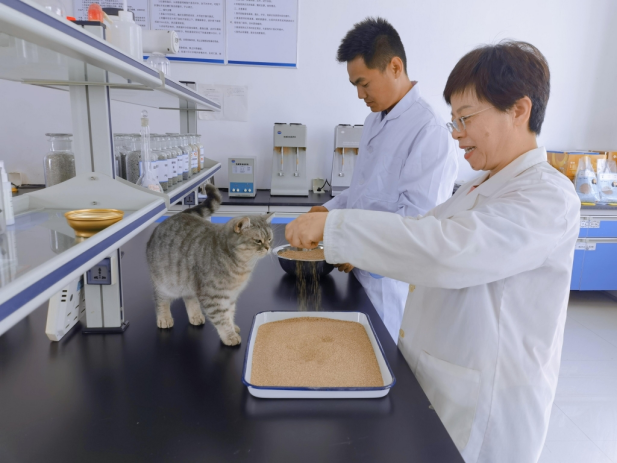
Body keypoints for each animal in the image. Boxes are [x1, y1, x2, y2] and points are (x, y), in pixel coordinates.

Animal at [146, 183, 273, 346]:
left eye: (269, 239)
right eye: (258, 241)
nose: (268, 248)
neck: (241, 265)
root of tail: (175, 215)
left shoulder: (230, 296)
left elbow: (229, 313)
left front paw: (232, 326)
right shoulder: (213, 297)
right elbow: (221, 318)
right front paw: (229, 335)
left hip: (188, 282)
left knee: (190, 299)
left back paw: (195, 316)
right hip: (165, 283)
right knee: (160, 300)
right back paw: (164, 317)